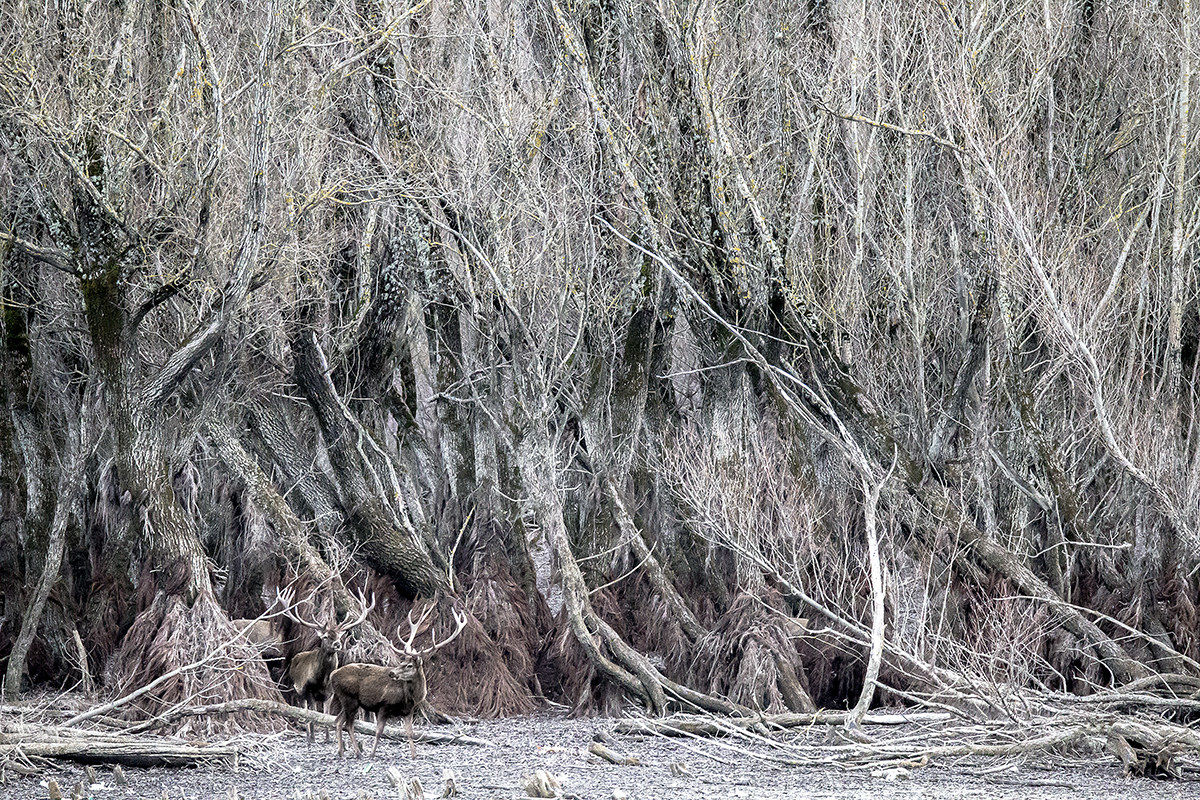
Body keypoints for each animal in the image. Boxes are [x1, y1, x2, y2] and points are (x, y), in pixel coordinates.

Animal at [278, 587, 375, 744]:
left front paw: (329, 738)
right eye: (325, 637)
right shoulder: (308, 690)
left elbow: (326, 714)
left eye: (339, 636)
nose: (337, 644)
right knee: (303, 709)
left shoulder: (330, 693)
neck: (322, 681)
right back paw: (308, 736)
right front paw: (313, 738)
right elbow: (312, 714)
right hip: (297, 689)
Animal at [330, 600, 467, 759]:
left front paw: (414, 755)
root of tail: (332, 675)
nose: (391, 673)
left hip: (347, 700)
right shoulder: (383, 705)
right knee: (348, 724)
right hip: (349, 699)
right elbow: (378, 732)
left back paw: (341, 751)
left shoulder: (408, 711)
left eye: (408, 665)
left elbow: (410, 733)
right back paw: (358, 753)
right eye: (401, 662)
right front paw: (372, 754)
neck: (410, 697)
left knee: (338, 721)